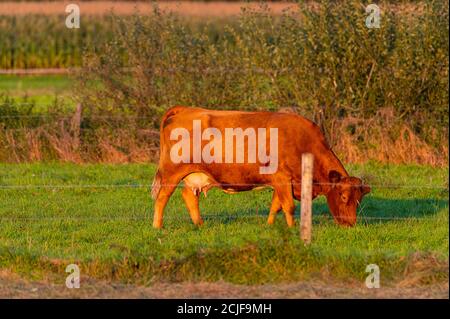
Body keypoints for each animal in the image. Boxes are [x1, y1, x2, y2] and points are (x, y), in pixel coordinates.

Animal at [151, 106, 370, 229]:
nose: (351, 224)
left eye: (359, 200)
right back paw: (157, 226)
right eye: (344, 197)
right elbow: (288, 206)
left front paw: (270, 225)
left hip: (196, 174)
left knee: (188, 196)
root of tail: (186, 109)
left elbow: (276, 205)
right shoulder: (282, 178)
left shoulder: (284, 182)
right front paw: (292, 229)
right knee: (162, 197)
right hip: (172, 172)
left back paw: (200, 224)